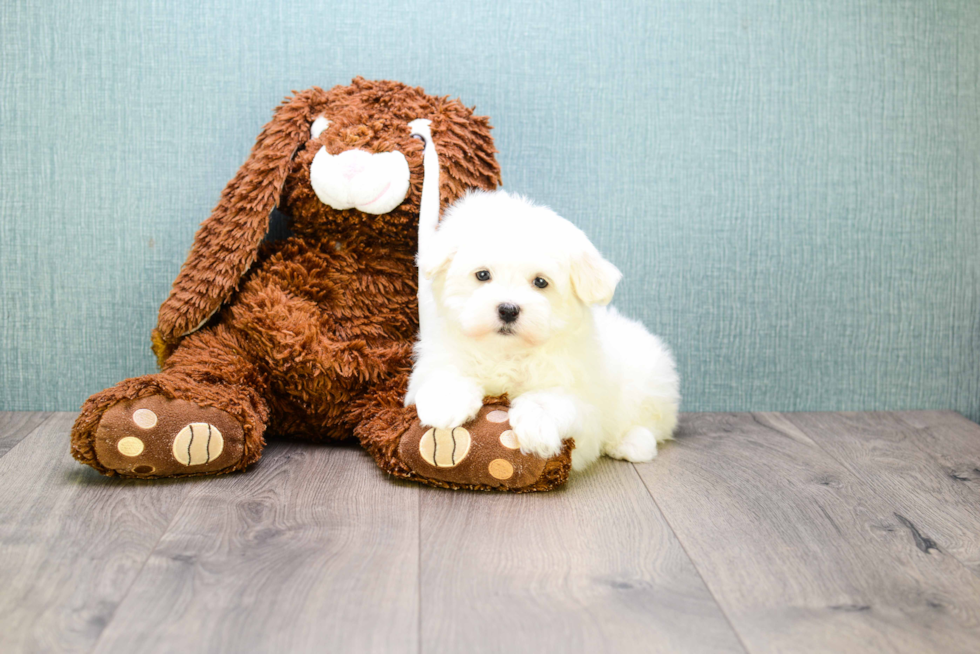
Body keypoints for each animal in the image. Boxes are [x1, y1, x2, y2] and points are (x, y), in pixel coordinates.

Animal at [402, 190, 676, 472]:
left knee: (651, 424)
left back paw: (632, 444)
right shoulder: (438, 358)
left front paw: (537, 426)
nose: (508, 309)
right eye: (482, 275)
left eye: (541, 282)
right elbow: (446, 372)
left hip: (650, 388)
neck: (505, 352)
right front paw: (445, 401)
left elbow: (550, 399)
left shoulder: (581, 399)